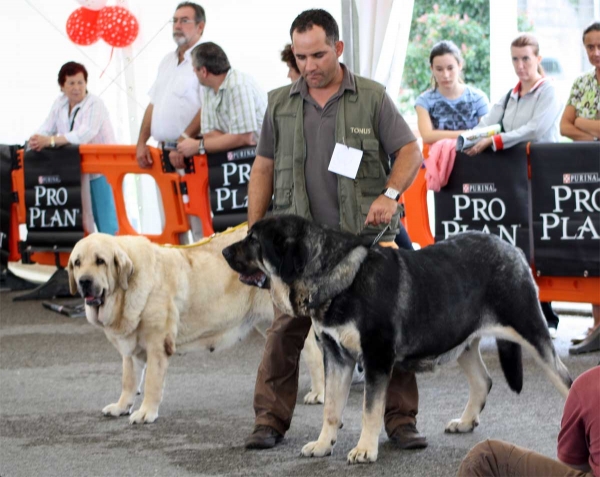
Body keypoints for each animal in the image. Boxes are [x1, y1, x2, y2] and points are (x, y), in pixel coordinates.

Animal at [224, 215, 572, 462]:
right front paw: (324, 445)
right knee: (483, 381)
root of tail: (512, 248)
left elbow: (370, 409)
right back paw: (465, 421)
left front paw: (365, 450)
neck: (338, 277)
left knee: (566, 379)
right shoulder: (336, 356)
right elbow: (332, 408)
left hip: (531, 330)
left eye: (253, 240)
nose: (225, 249)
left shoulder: (376, 357)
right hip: (460, 340)